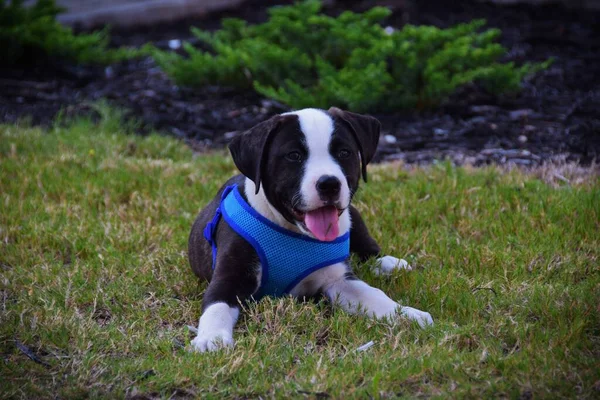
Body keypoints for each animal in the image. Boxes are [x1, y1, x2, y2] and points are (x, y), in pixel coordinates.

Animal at [188, 107, 432, 354]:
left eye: (344, 152)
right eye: (294, 155)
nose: (329, 184)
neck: (293, 232)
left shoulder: (340, 281)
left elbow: (375, 296)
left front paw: (407, 315)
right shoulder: (229, 278)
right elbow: (217, 305)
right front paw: (212, 338)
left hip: (354, 214)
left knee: (366, 246)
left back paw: (387, 262)